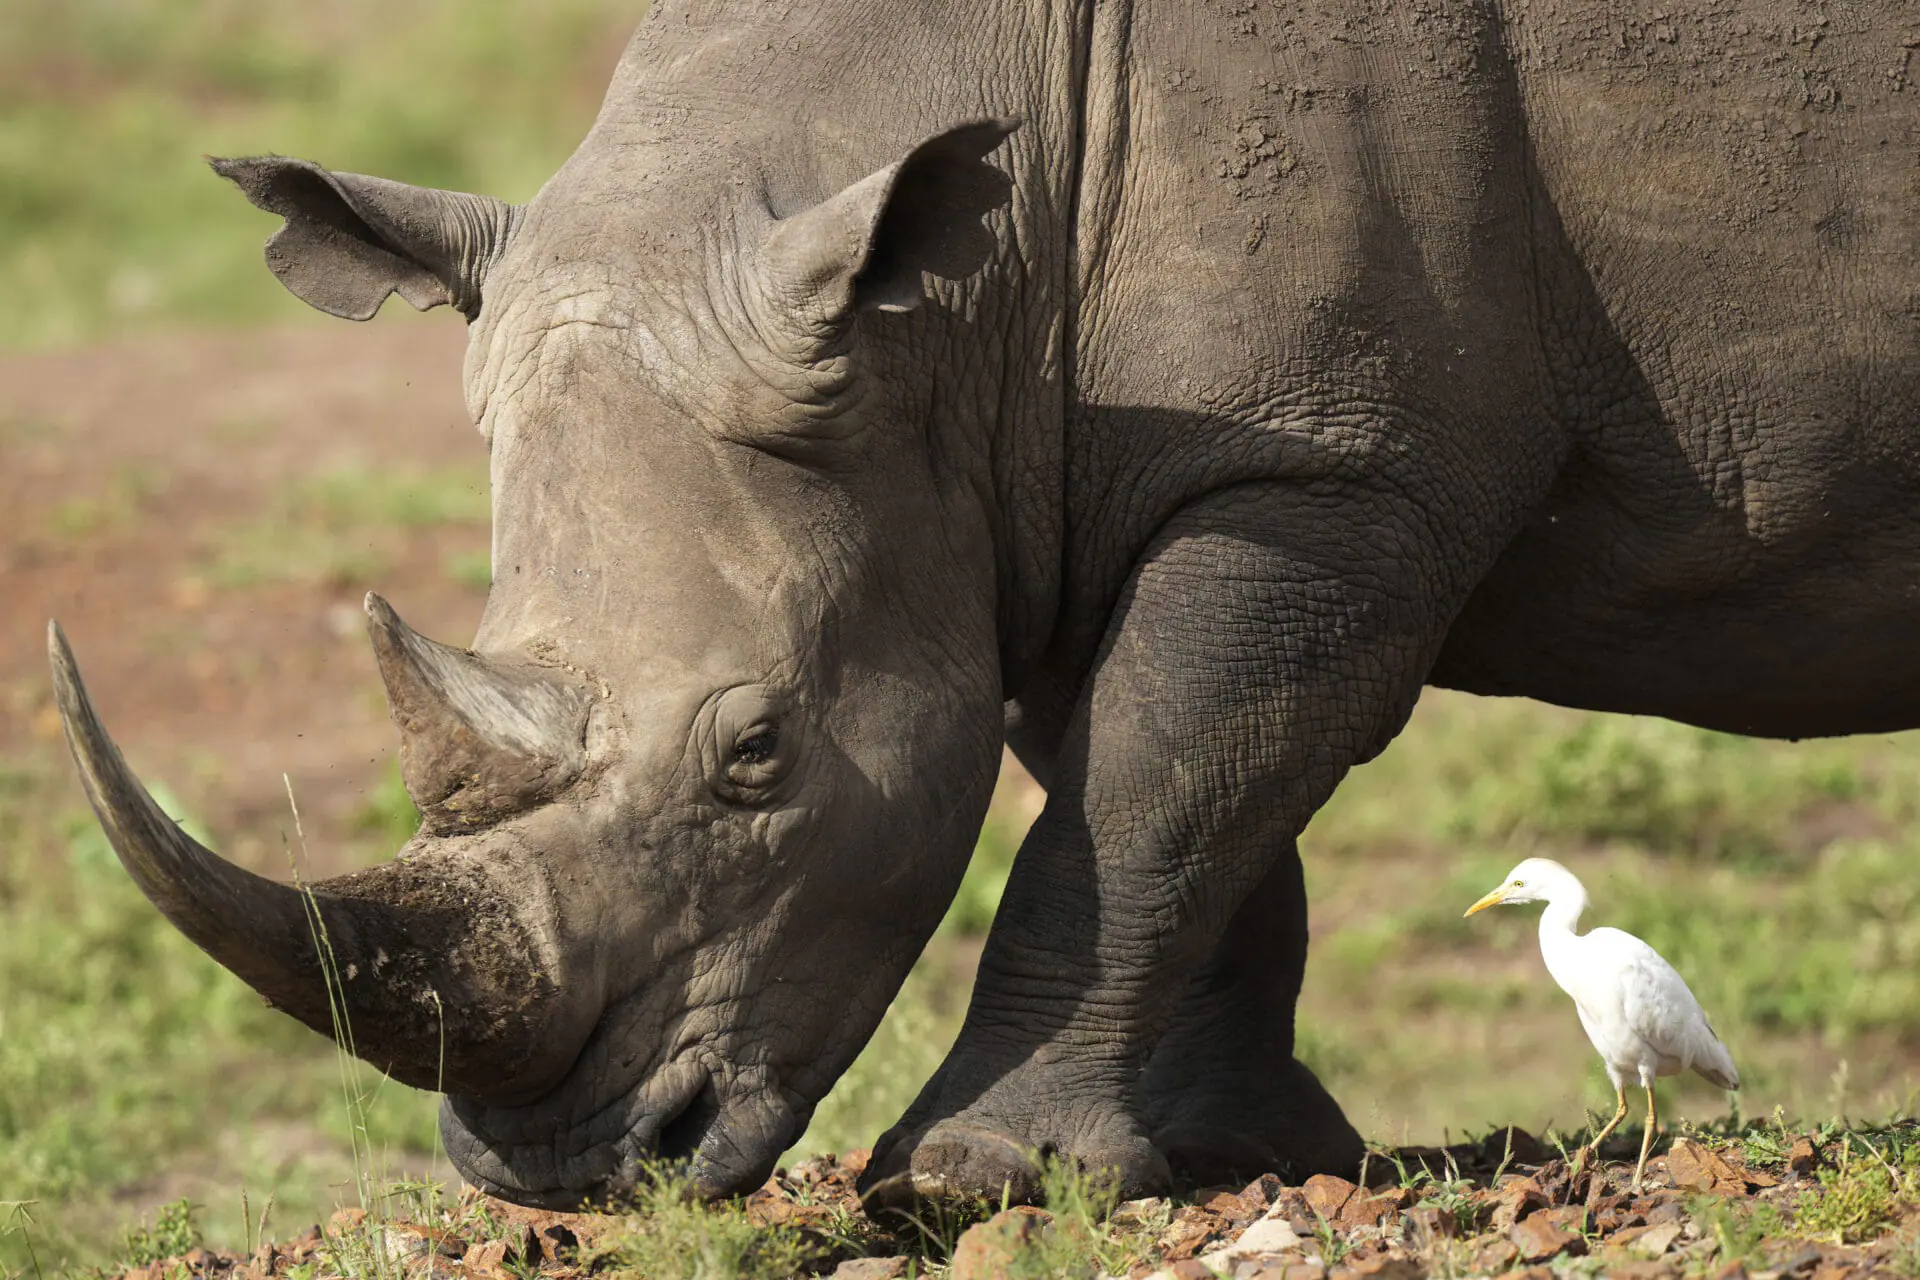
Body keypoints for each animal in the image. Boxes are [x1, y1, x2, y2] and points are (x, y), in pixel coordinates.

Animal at [48, 0, 1920, 1212]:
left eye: (757, 753)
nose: (567, 1178)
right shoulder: (1023, 481)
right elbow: (1176, 800)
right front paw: (1230, 1152)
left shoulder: (1326, 473)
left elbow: (1154, 781)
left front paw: (962, 1177)